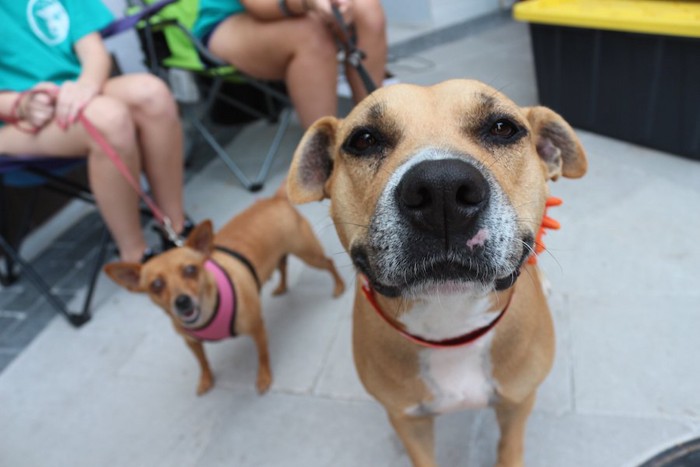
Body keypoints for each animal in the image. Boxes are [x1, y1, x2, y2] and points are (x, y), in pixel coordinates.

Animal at [104, 188, 344, 396]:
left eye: (191, 270)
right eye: (156, 284)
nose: (182, 301)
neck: (207, 313)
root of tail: (274, 199)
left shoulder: (257, 328)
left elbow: (263, 355)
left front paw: (264, 378)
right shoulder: (191, 343)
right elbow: (203, 362)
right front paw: (206, 380)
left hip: (309, 255)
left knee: (329, 263)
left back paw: (339, 287)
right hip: (280, 255)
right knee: (283, 265)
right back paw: (282, 287)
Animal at [284, 78, 584, 466]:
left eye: (503, 128)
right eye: (363, 139)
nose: (442, 187)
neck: (450, 323)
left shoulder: (518, 402)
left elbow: (509, 449)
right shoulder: (407, 420)